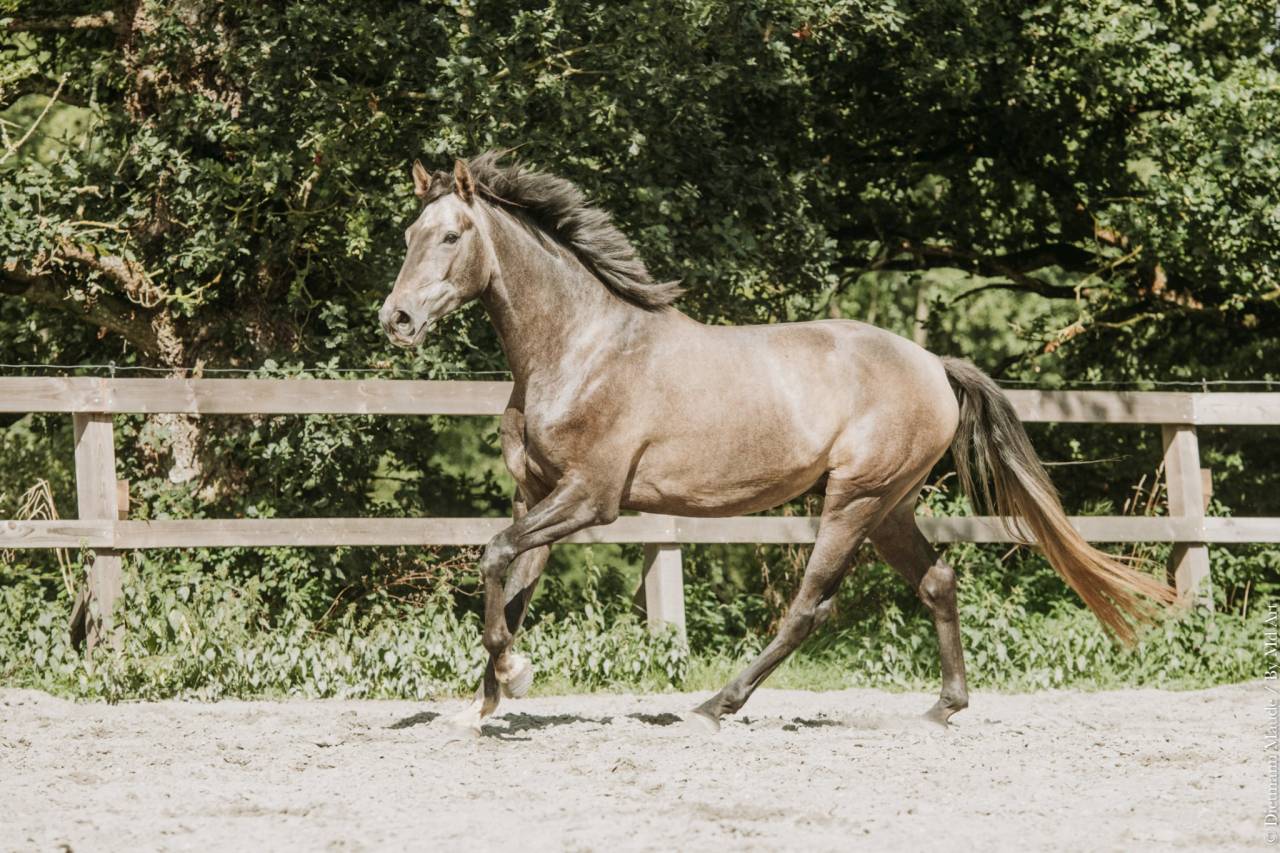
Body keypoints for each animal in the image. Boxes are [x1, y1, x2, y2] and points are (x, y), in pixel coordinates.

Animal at [379, 152, 1175, 735]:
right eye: (407, 236)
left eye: (451, 236)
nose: (397, 319)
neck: (582, 347)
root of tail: (931, 363)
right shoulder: (539, 495)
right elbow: (513, 585)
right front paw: (484, 702)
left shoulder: (590, 499)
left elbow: (493, 555)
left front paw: (508, 680)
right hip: (890, 505)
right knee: (938, 581)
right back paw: (942, 708)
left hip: (852, 500)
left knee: (810, 607)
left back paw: (715, 706)